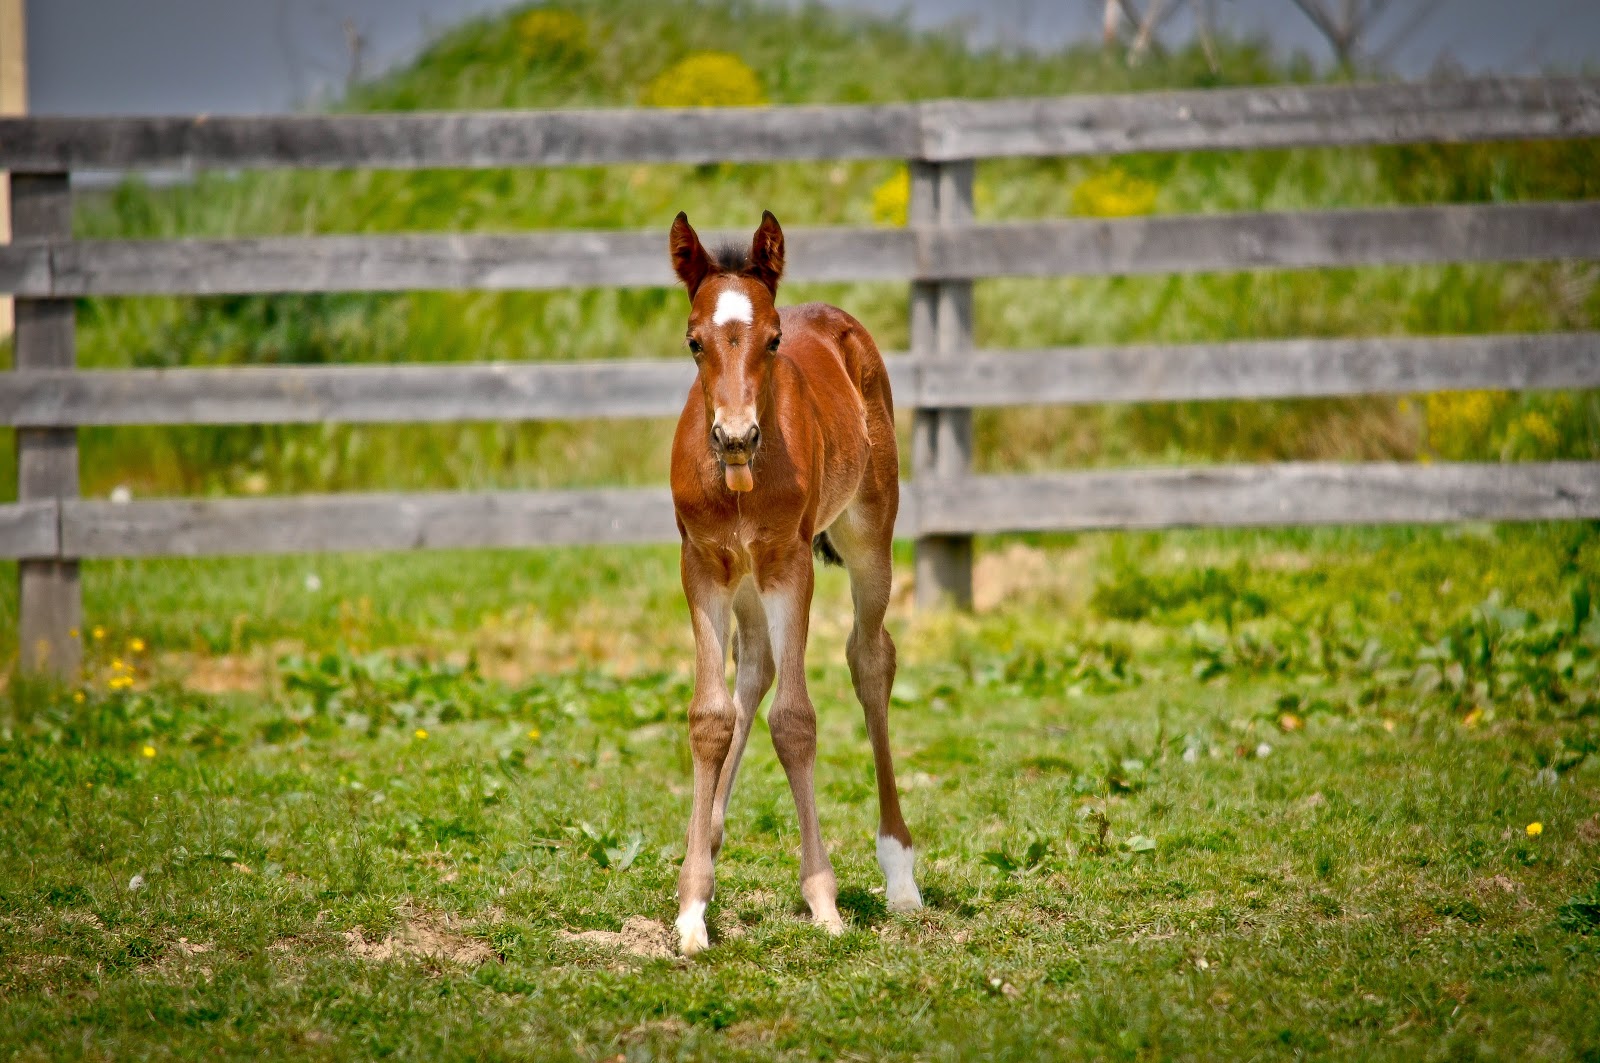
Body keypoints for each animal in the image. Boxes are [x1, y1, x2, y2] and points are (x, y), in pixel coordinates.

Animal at [666, 210, 921, 955]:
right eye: (694, 341)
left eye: (773, 340)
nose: (736, 437)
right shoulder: (703, 563)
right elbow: (711, 716)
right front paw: (692, 905)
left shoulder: (790, 561)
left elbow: (797, 720)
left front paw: (824, 900)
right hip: (746, 579)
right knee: (755, 665)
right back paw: (711, 834)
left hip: (867, 536)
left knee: (870, 659)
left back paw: (900, 873)